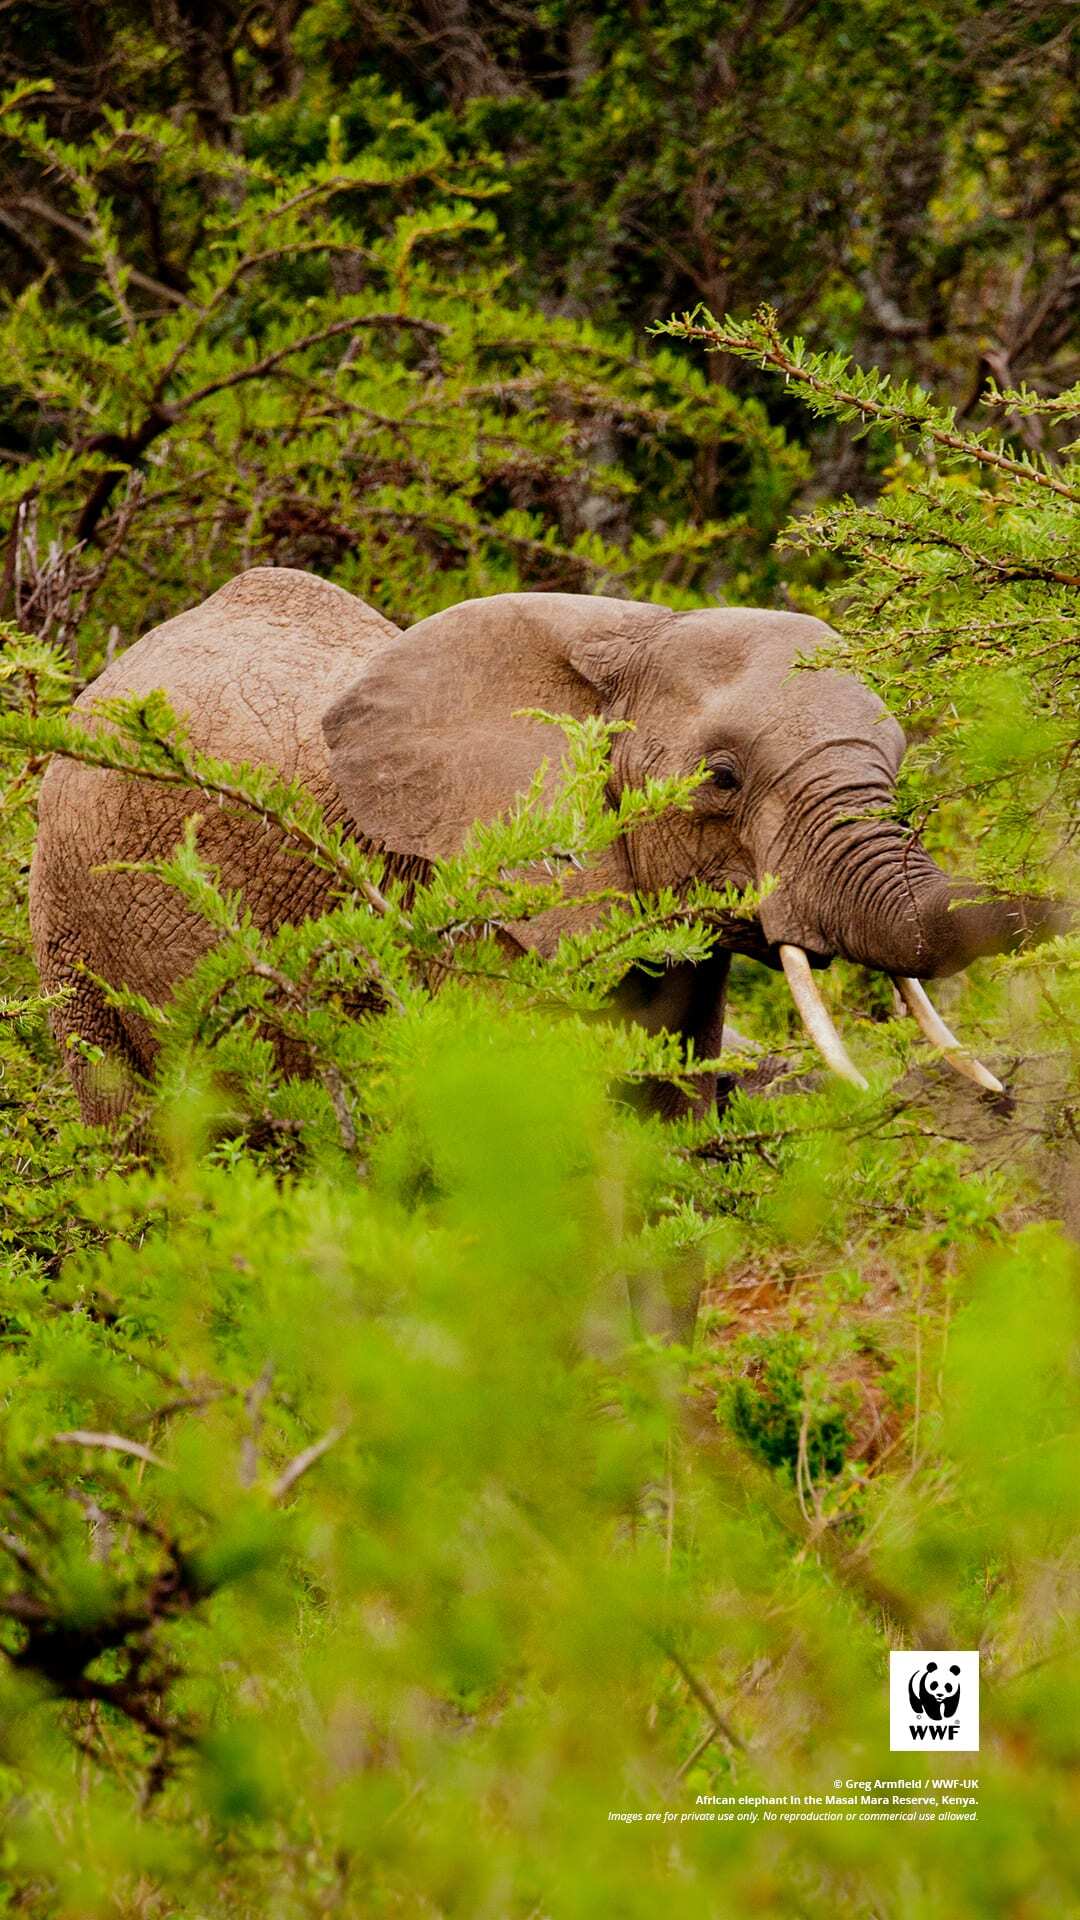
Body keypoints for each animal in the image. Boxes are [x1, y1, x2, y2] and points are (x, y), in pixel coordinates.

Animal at [30, 565, 1064, 1126]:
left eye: (898, 761)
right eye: (722, 779)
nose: (1007, 1099)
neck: (629, 637)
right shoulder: (458, 907)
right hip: (68, 916)